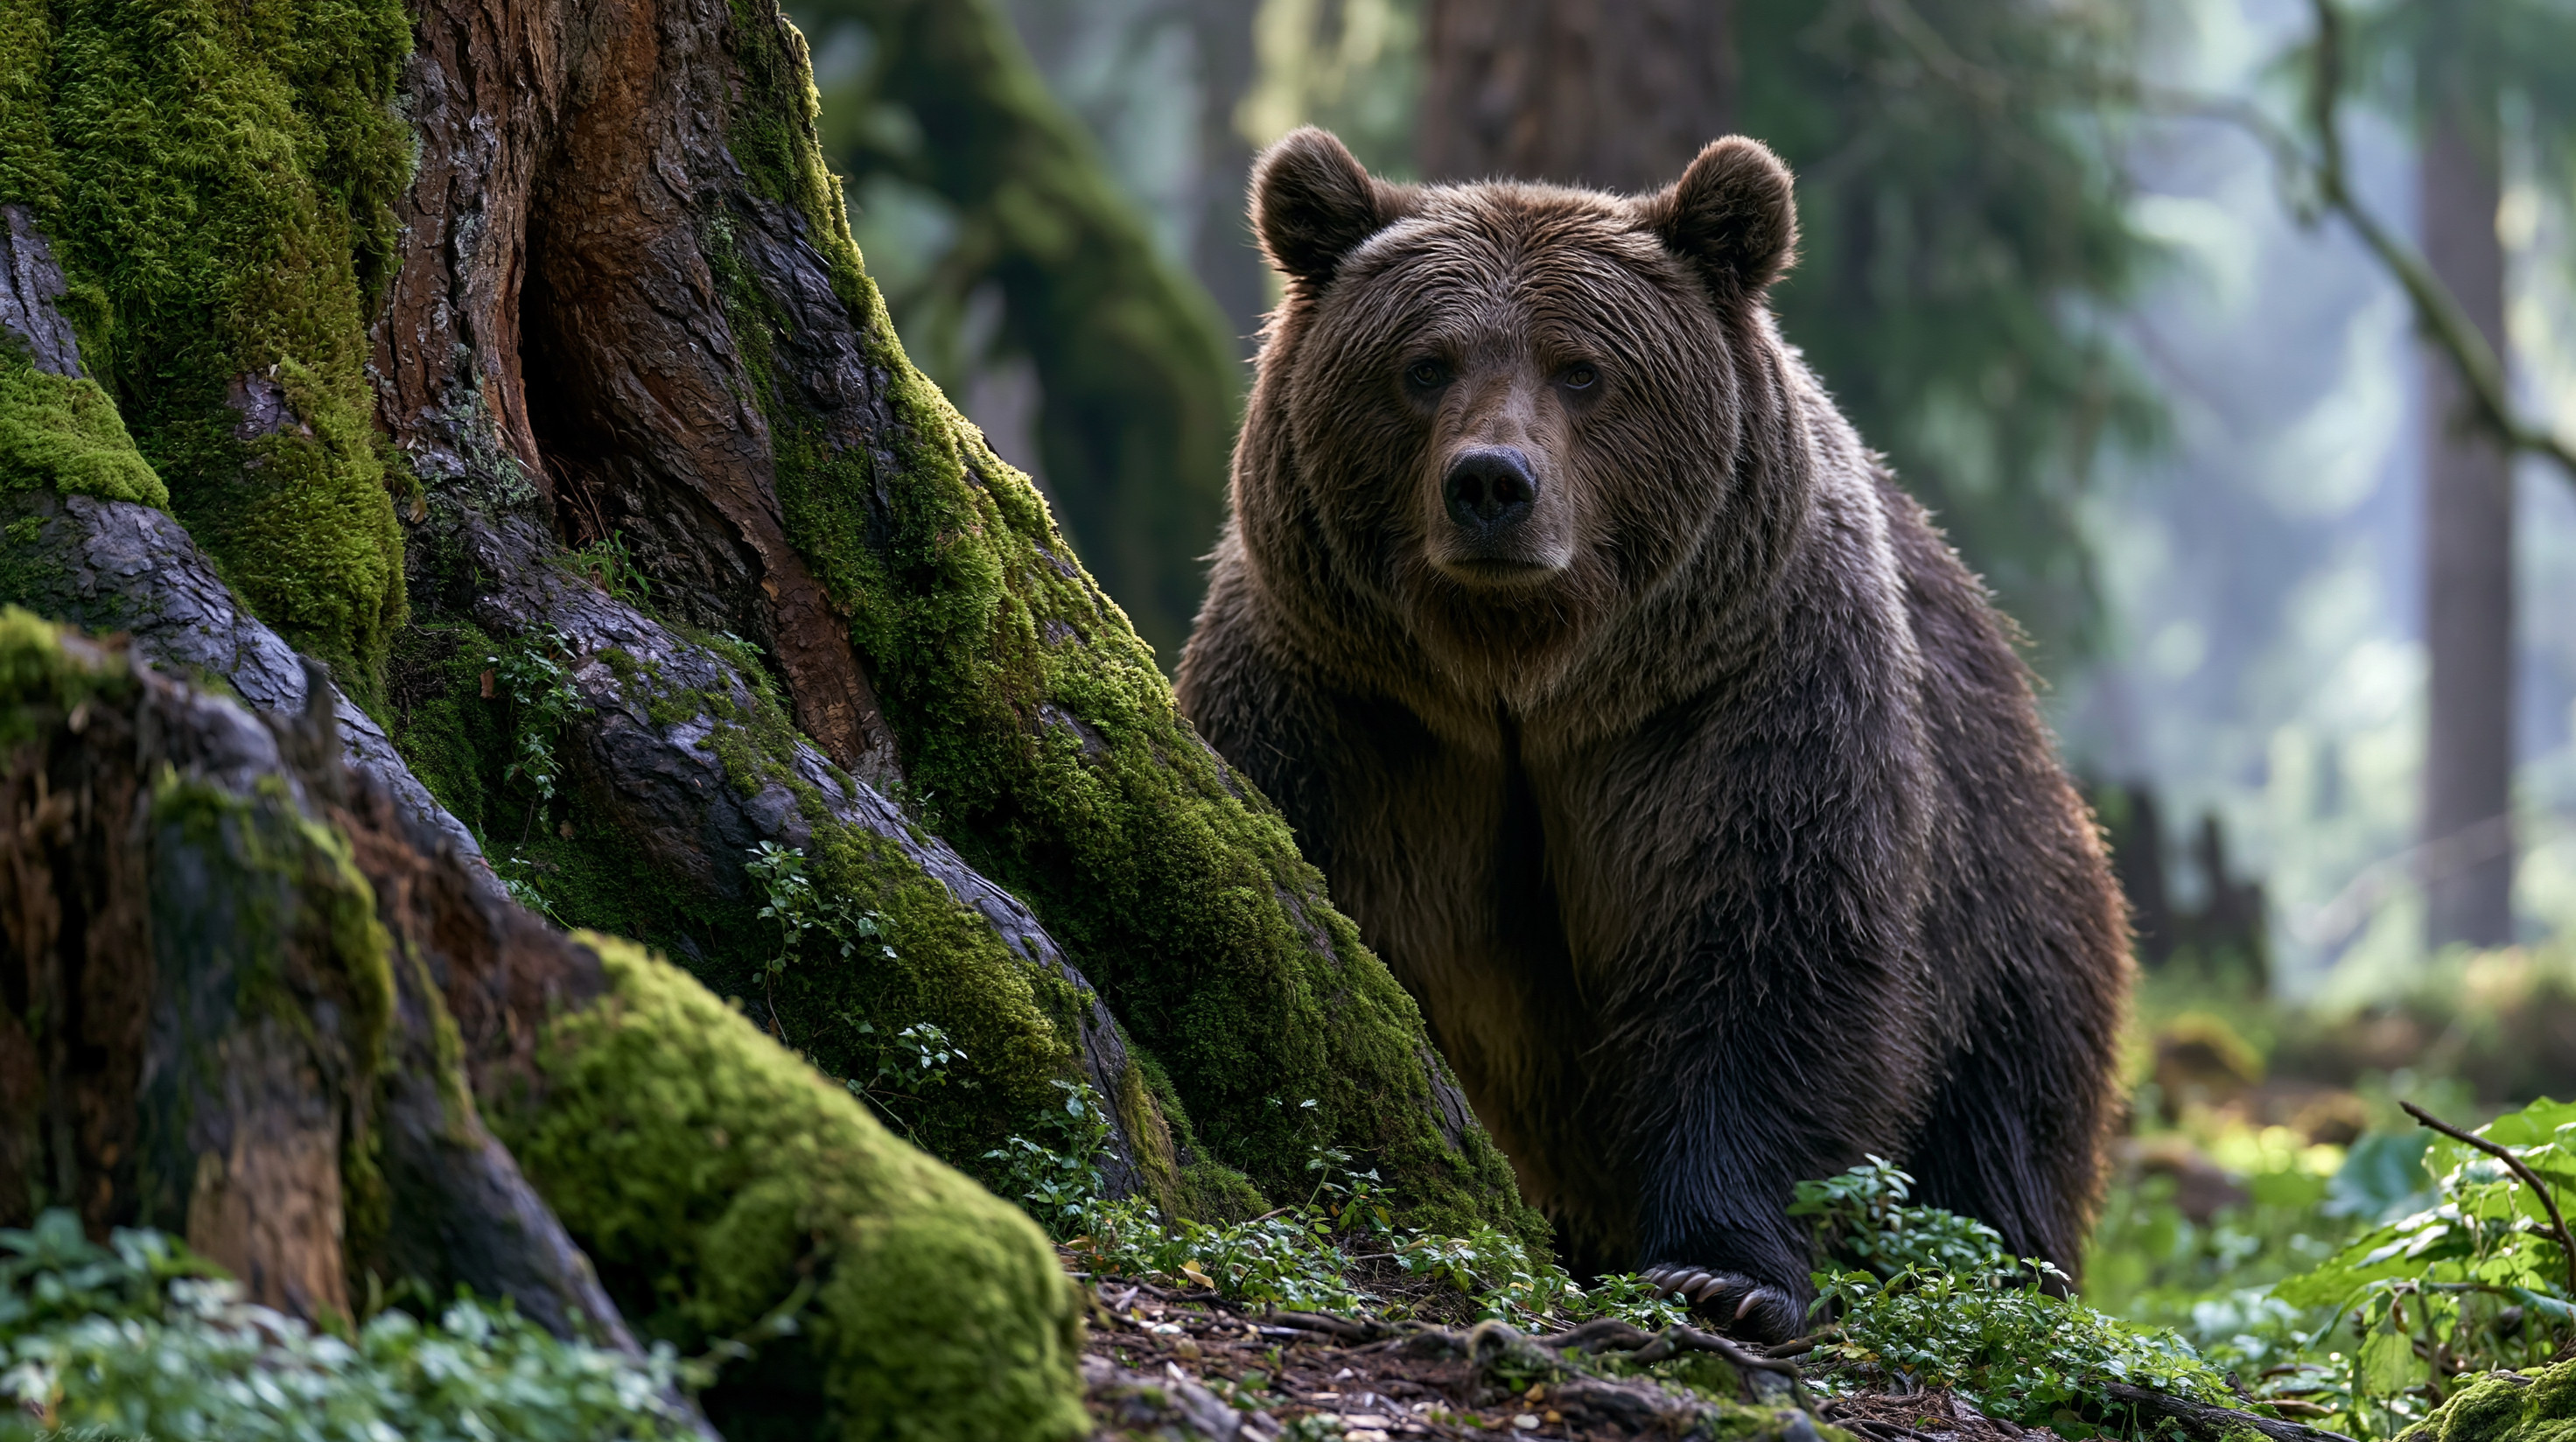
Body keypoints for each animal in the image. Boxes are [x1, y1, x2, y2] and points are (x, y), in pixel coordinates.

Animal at [1174, 127, 2133, 1341]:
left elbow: (1761, 945)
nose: (1492, 483)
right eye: (1424, 364)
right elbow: (1299, 904)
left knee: (1996, 1139)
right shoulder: (1343, 710)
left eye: (1582, 369)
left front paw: (1721, 1269)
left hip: (2011, 904)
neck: (1523, 678)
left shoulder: (1734, 698)